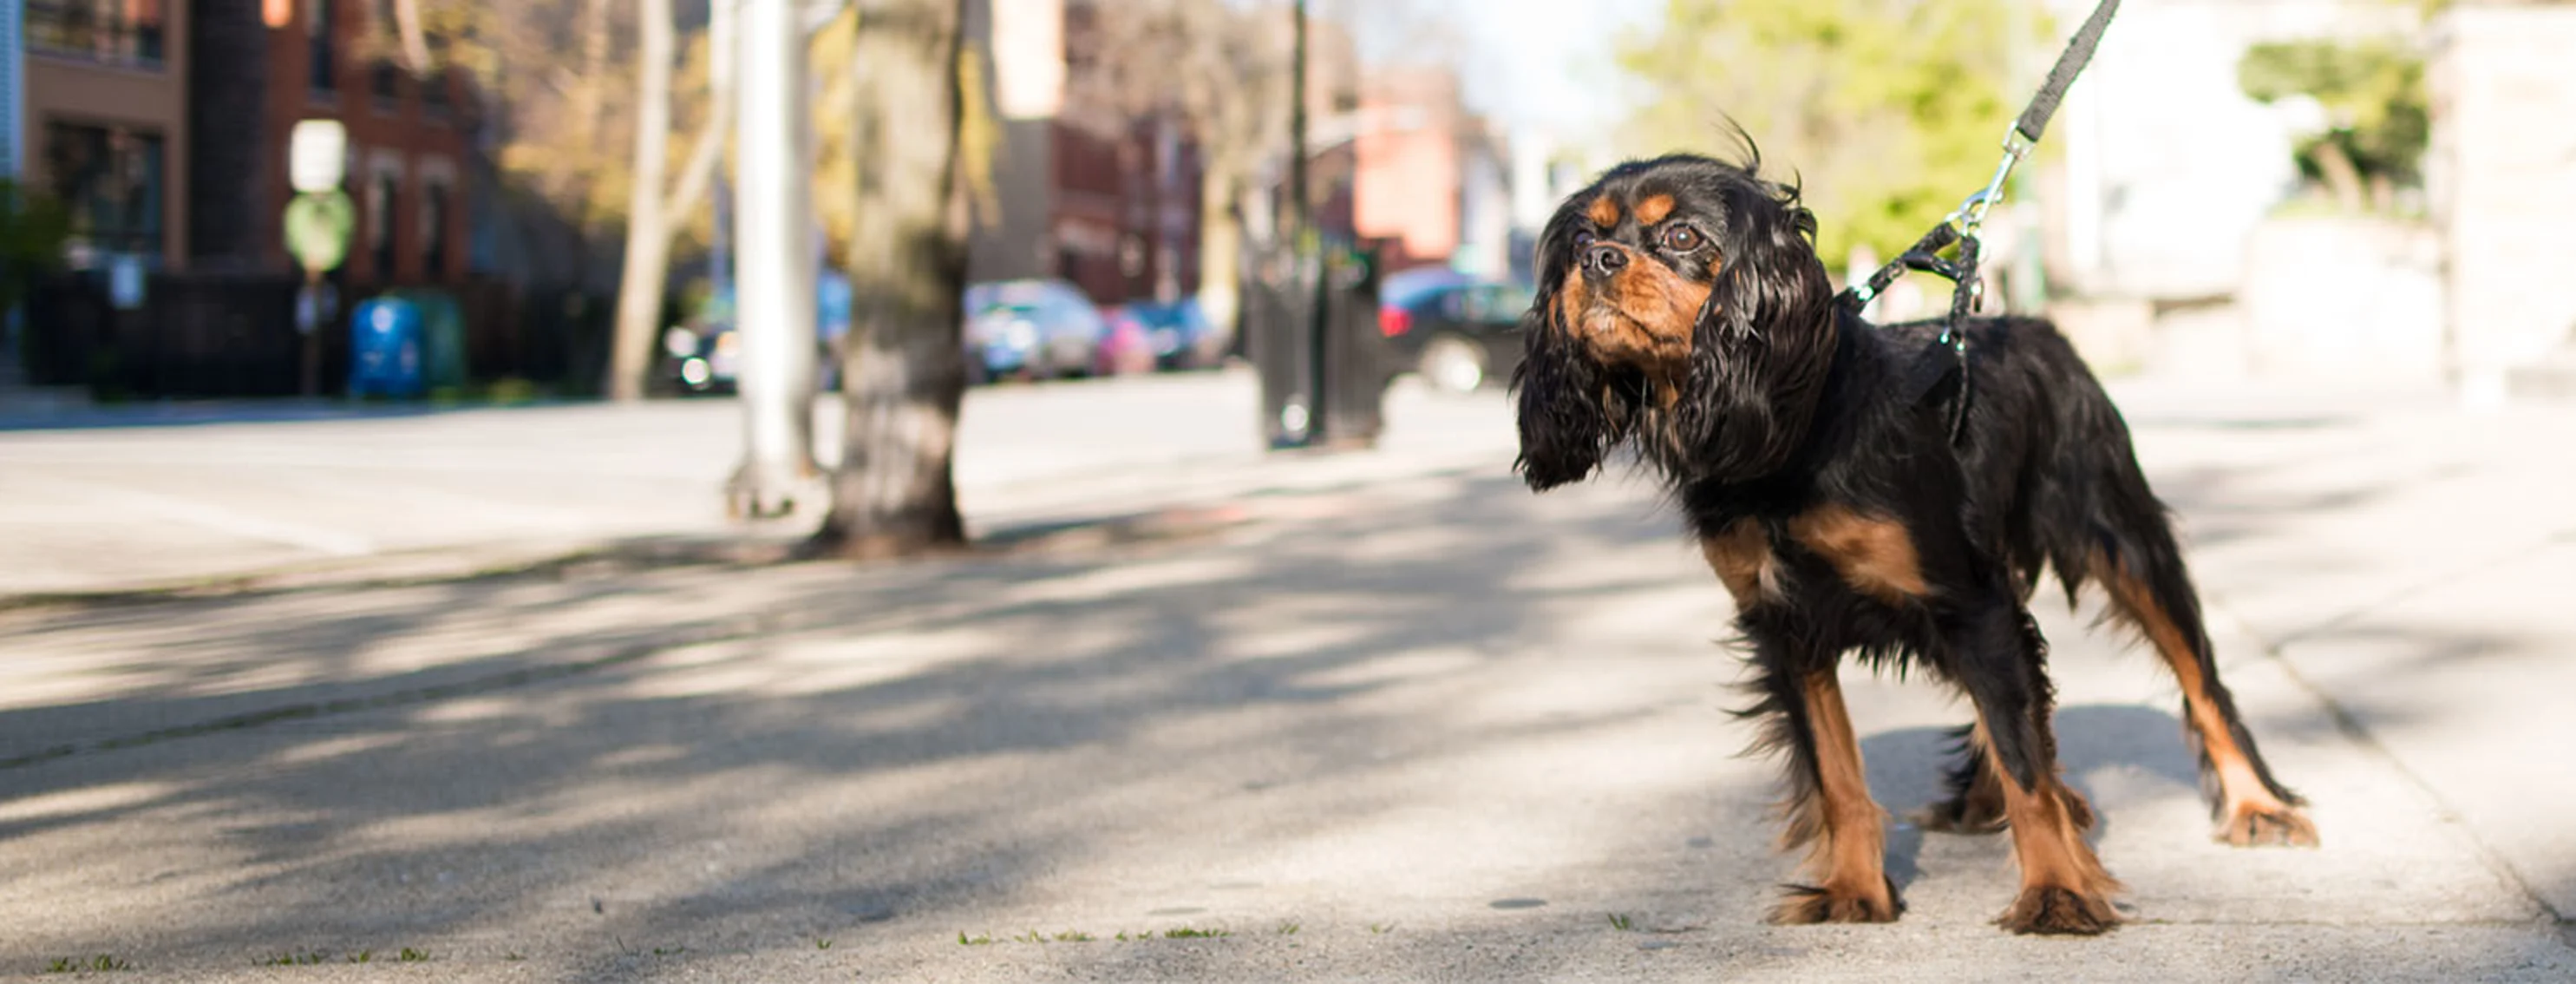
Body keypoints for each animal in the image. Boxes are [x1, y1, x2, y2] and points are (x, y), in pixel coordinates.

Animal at [1504, 149, 2318, 932]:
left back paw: (2257, 808)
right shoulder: (1784, 624)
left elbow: (2026, 764)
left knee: (2202, 685)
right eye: (1581, 238)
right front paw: (1856, 891)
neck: (1790, 435)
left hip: (2126, 538)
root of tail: (2037, 325)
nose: (1597, 261)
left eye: (1680, 237)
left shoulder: (1970, 600)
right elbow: (1839, 775)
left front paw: (2056, 891)